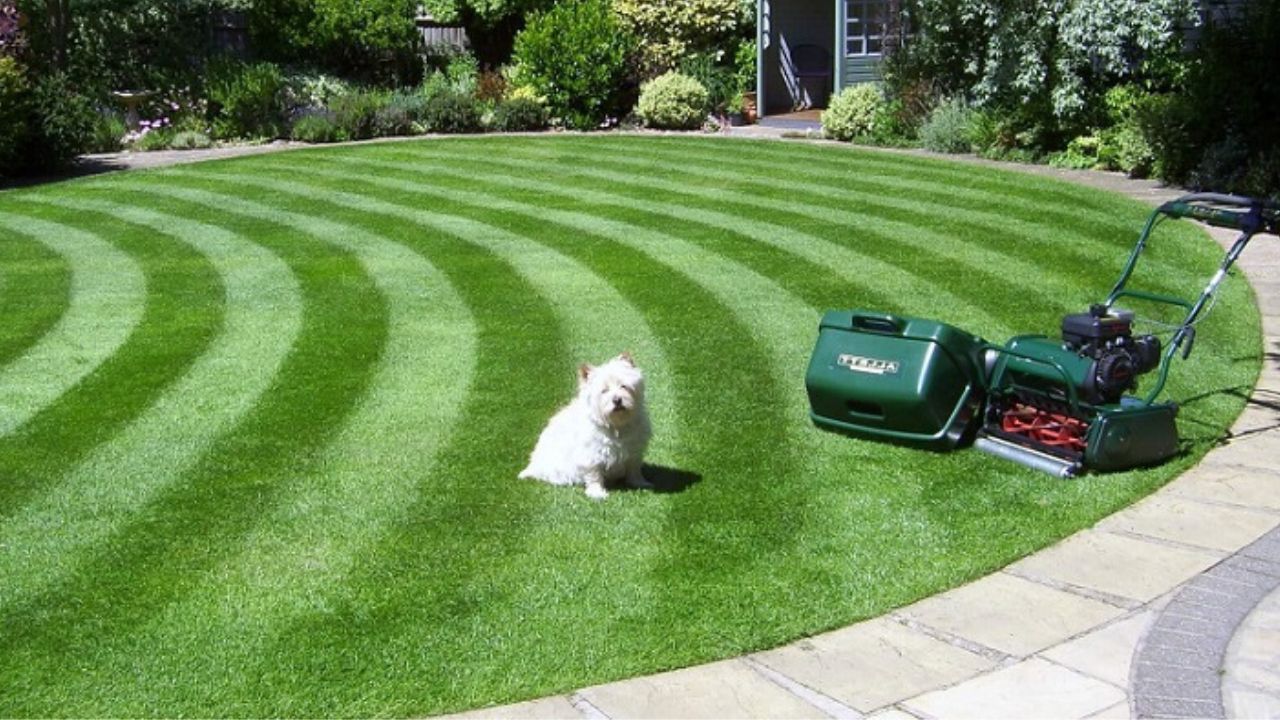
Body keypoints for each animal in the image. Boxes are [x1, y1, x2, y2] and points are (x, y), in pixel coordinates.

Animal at [519, 351, 655, 499]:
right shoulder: (591, 454)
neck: (616, 424)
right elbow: (594, 474)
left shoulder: (634, 449)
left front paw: (640, 483)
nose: (617, 400)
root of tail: (533, 466)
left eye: (623, 386)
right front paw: (597, 493)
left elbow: (634, 468)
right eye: (604, 390)